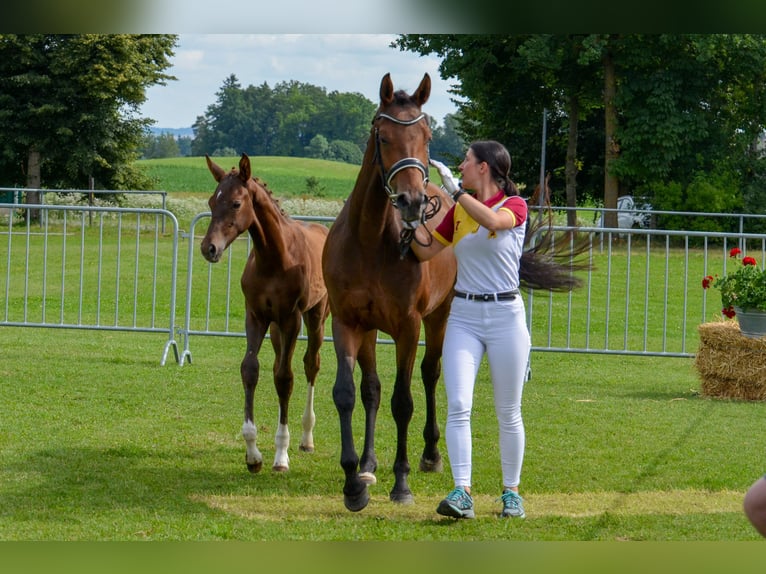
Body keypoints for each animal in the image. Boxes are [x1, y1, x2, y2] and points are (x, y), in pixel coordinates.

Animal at [200, 153, 330, 474]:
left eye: (236, 203)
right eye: (211, 201)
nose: (209, 248)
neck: (274, 259)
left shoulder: (291, 318)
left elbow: (285, 378)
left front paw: (281, 454)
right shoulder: (256, 317)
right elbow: (251, 370)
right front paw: (253, 453)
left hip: (315, 317)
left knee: (311, 364)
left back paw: (306, 438)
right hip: (275, 330)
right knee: (276, 364)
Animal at [322, 73, 457, 511]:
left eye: (427, 136)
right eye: (383, 136)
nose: (413, 201)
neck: (369, 240)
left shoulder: (408, 327)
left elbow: (403, 401)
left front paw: (402, 482)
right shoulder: (347, 322)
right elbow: (349, 393)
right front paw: (354, 481)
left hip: (439, 316)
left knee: (430, 374)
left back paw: (430, 454)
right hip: (368, 331)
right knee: (372, 391)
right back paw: (368, 463)